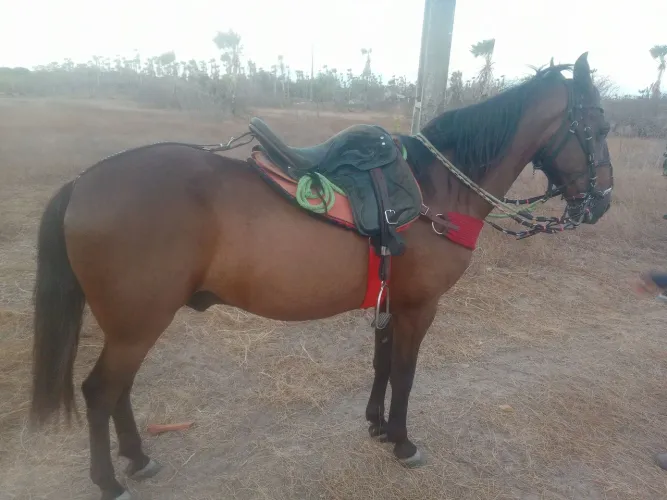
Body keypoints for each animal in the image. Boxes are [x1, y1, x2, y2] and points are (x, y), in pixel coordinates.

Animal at [28, 52, 613, 500]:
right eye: (600, 128)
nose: (602, 203)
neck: (436, 189)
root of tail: (84, 182)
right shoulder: (419, 307)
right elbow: (405, 374)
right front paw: (404, 442)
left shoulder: (390, 302)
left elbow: (382, 366)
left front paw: (378, 426)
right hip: (137, 324)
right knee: (101, 392)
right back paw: (110, 481)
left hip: (133, 325)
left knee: (118, 391)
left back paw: (136, 457)